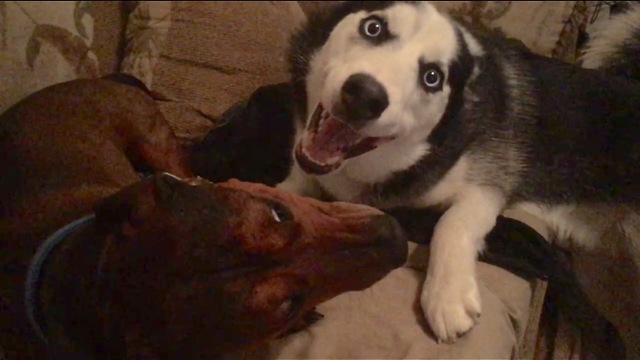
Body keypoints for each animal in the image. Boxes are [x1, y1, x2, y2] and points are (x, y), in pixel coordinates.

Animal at [278, 1, 640, 342]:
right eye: (373, 27)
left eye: (432, 77)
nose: (364, 96)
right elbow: (288, 188)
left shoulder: (488, 185)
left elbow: (452, 222)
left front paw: (446, 296)